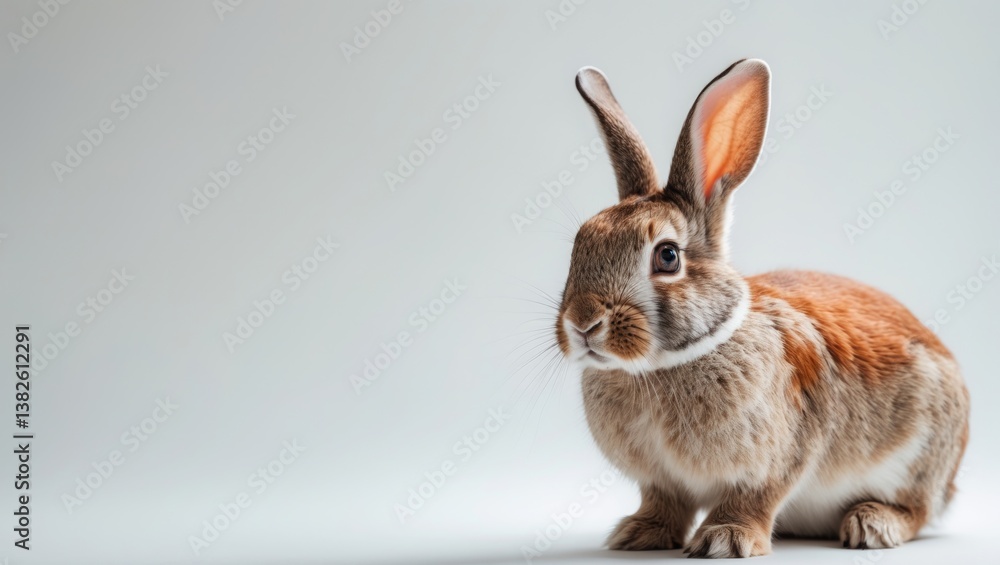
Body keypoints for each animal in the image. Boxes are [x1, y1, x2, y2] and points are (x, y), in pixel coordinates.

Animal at [554, 59, 970, 558]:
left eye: (667, 256)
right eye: (579, 245)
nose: (583, 323)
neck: (660, 366)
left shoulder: (779, 457)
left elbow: (754, 497)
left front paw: (725, 539)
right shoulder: (660, 482)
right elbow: (664, 503)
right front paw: (638, 534)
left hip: (922, 456)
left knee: (919, 509)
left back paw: (872, 523)